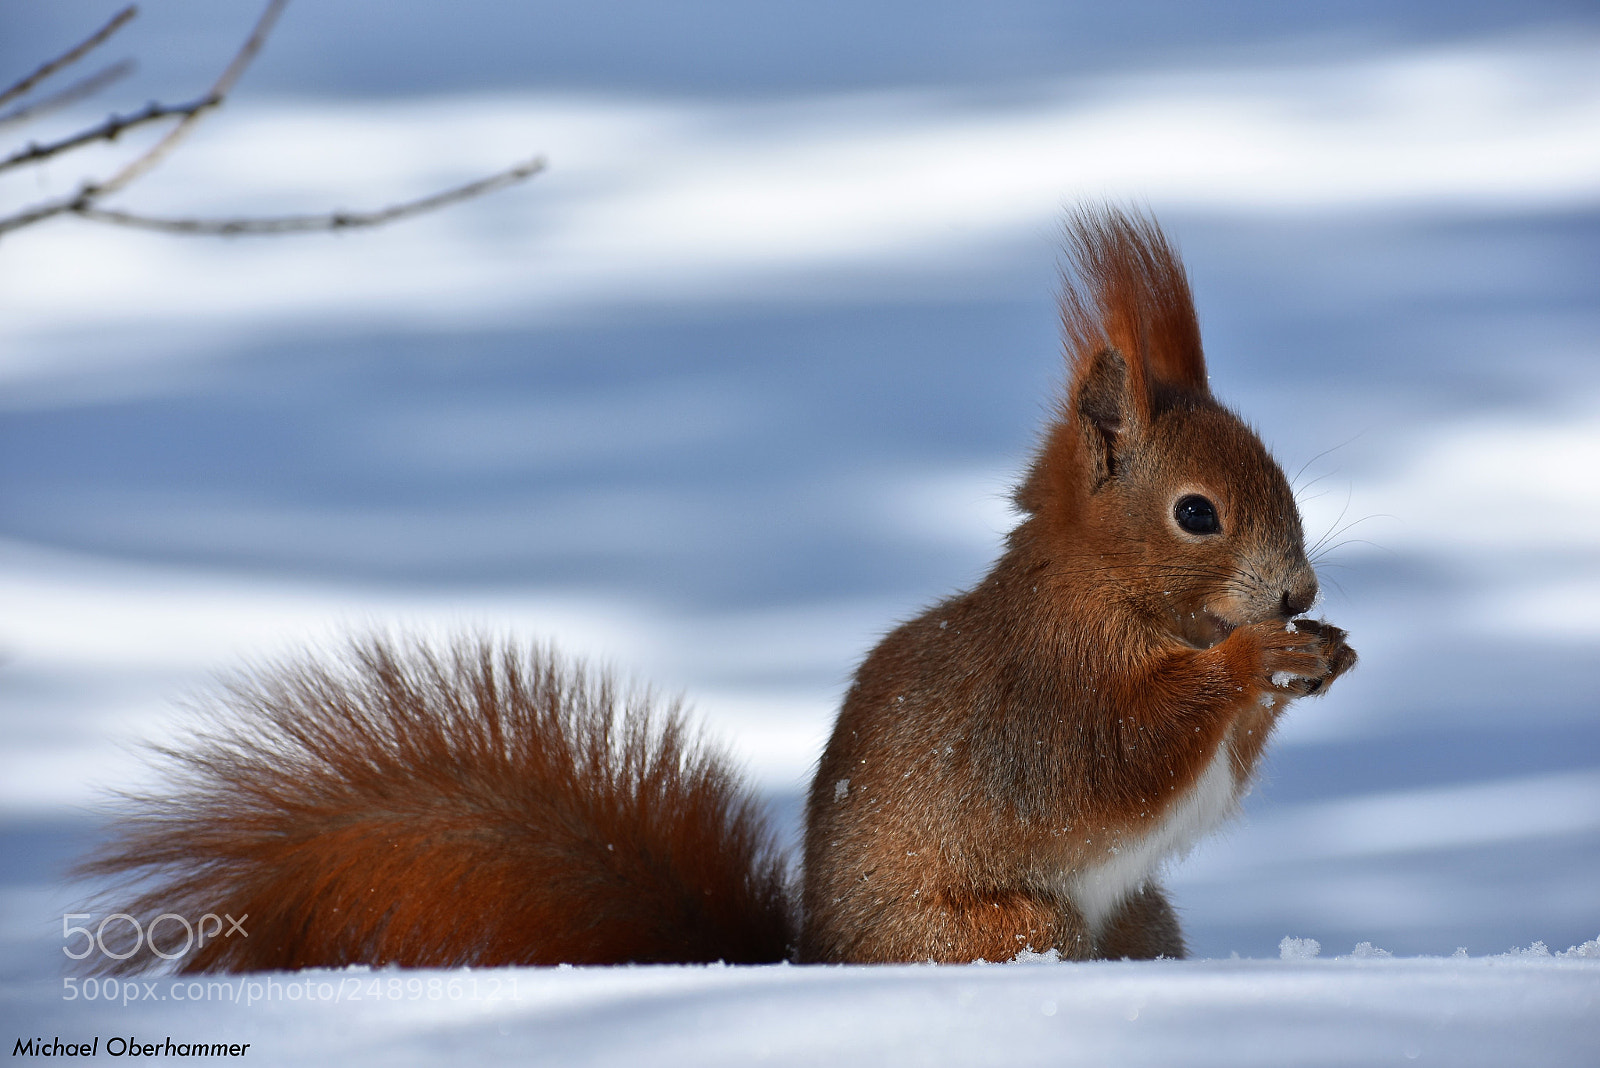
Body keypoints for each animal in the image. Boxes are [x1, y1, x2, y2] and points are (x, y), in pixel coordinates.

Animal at [76, 206, 1354, 972]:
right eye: (1197, 514)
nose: (1297, 592)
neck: (1110, 592)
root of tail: (811, 960)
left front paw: (1319, 658)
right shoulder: (1051, 694)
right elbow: (1122, 756)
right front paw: (1256, 661)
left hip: (1144, 920)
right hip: (1004, 924)